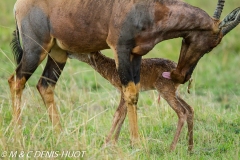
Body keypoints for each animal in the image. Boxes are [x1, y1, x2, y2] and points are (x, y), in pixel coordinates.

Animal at [8, 0, 238, 150]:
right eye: (213, 43)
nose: (178, 76)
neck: (149, 8)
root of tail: (18, 5)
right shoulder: (121, 49)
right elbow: (130, 95)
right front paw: (136, 143)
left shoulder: (136, 55)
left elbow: (132, 95)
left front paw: (121, 142)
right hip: (35, 50)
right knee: (16, 81)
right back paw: (17, 137)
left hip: (58, 52)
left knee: (45, 85)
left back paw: (60, 135)